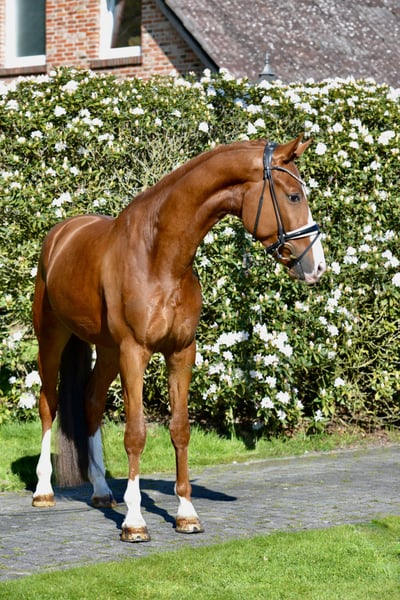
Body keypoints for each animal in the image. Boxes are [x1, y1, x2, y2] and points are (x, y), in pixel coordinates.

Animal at [31, 135, 326, 542]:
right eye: (294, 196)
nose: (317, 267)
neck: (160, 256)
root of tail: (61, 234)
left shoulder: (181, 352)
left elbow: (180, 429)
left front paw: (186, 514)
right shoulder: (135, 352)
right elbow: (136, 433)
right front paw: (134, 521)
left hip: (106, 351)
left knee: (91, 402)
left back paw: (102, 491)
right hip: (52, 338)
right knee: (49, 404)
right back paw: (43, 491)